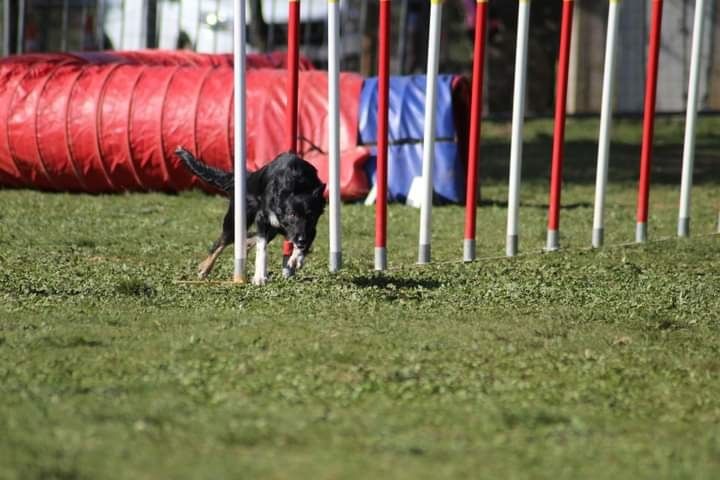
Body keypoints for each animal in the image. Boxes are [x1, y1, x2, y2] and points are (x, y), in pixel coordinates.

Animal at [174, 146, 324, 284]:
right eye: (292, 214)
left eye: (310, 216)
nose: (300, 240)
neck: (298, 186)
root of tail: (248, 176)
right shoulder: (262, 219)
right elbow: (261, 249)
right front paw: (259, 277)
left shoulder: (311, 228)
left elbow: (307, 240)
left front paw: (296, 258)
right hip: (236, 221)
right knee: (220, 243)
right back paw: (205, 268)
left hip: (271, 230)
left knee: (250, 239)